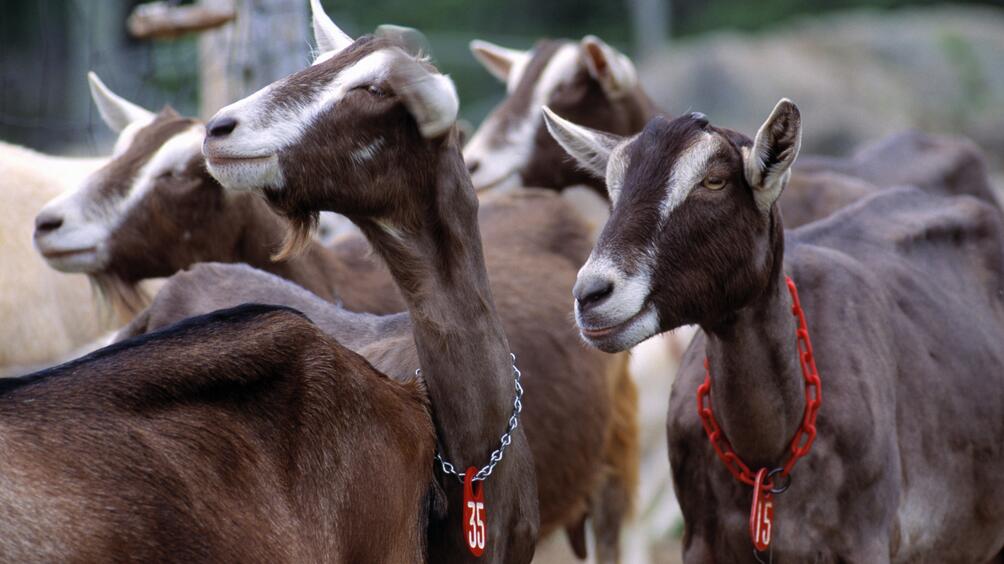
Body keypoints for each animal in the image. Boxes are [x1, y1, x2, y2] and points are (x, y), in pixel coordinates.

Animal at [546, 103, 1003, 557]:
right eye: (613, 187)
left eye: (714, 181)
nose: (591, 294)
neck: (767, 456)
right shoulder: (700, 542)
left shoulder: (864, 540)